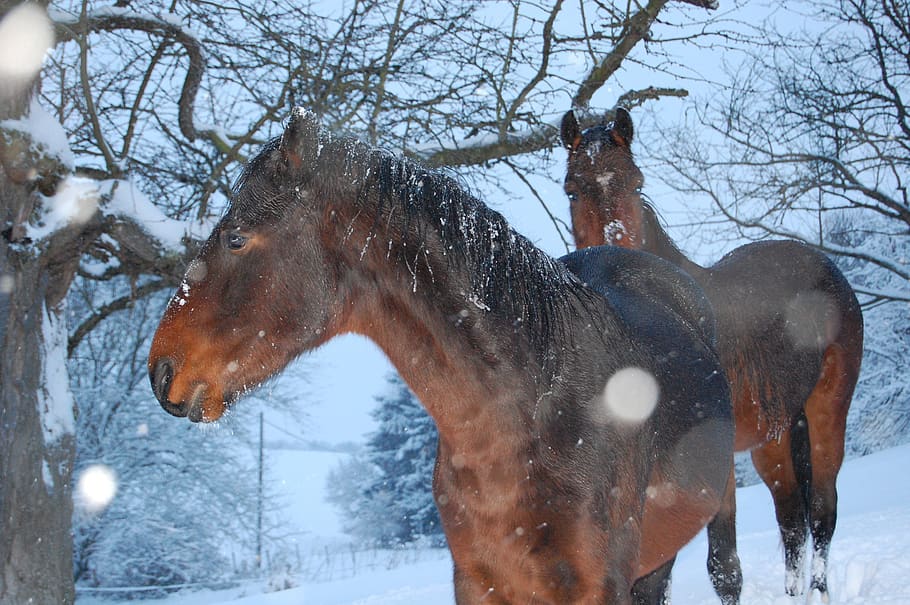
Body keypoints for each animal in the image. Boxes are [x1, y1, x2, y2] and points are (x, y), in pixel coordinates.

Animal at [561, 107, 864, 601]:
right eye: (571, 188)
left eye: (637, 183)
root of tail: (821, 262)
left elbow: (723, 566)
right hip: (774, 437)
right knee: (791, 520)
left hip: (827, 410)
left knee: (821, 511)